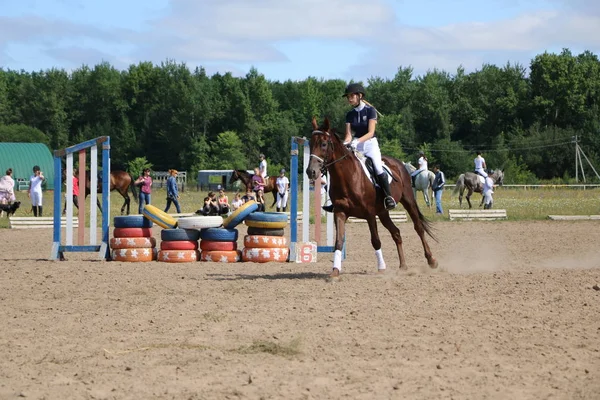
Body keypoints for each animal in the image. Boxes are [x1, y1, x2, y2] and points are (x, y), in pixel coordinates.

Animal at [308, 117, 438, 280]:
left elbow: (375, 240)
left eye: (324, 144)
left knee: (418, 228)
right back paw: (403, 266)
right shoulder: (340, 212)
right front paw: (335, 271)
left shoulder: (369, 213)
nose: (310, 172)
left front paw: (381, 268)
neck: (347, 177)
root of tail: (397, 163)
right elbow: (338, 242)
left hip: (408, 200)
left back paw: (431, 260)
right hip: (383, 212)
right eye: (310, 144)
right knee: (396, 232)